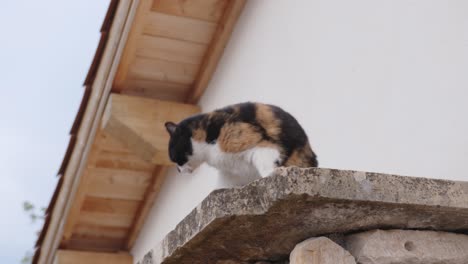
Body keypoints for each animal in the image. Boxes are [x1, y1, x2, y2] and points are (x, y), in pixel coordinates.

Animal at [165, 102, 318, 185]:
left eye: (173, 156)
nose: (178, 170)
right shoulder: (229, 174)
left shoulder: (260, 144)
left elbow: (266, 163)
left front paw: (273, 173)